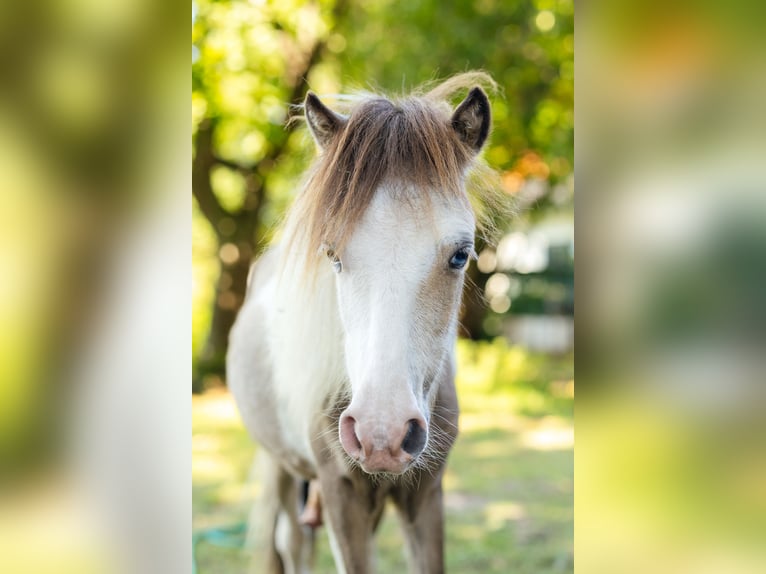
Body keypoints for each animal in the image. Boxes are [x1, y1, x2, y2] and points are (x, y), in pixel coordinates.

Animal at [227, 72, 494, 573]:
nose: (381, 433)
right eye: (331, 254)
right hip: (283, 466)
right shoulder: (341, 493)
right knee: (292, 541)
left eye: (460, 254)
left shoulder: (424, 492)